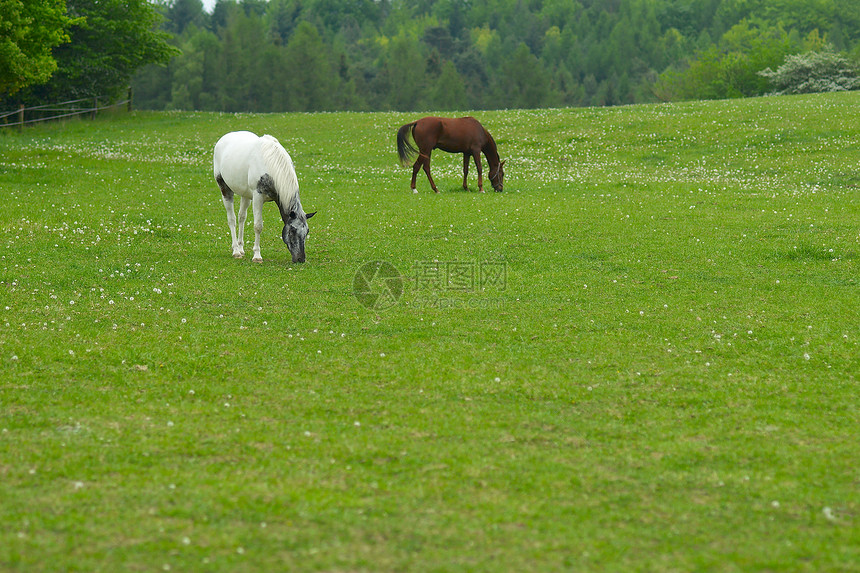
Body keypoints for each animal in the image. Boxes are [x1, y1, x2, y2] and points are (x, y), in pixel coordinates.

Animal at [212, 131, 316, 262]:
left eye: (307, 232)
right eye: (292, 230)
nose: (301, 259)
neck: (271, 165)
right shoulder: (258, 197)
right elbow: (258, 226)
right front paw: (257, 256)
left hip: (246, 195)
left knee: (241, 217)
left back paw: (240, 248)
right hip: (225, 189)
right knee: (232, 219)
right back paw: (236, 250)